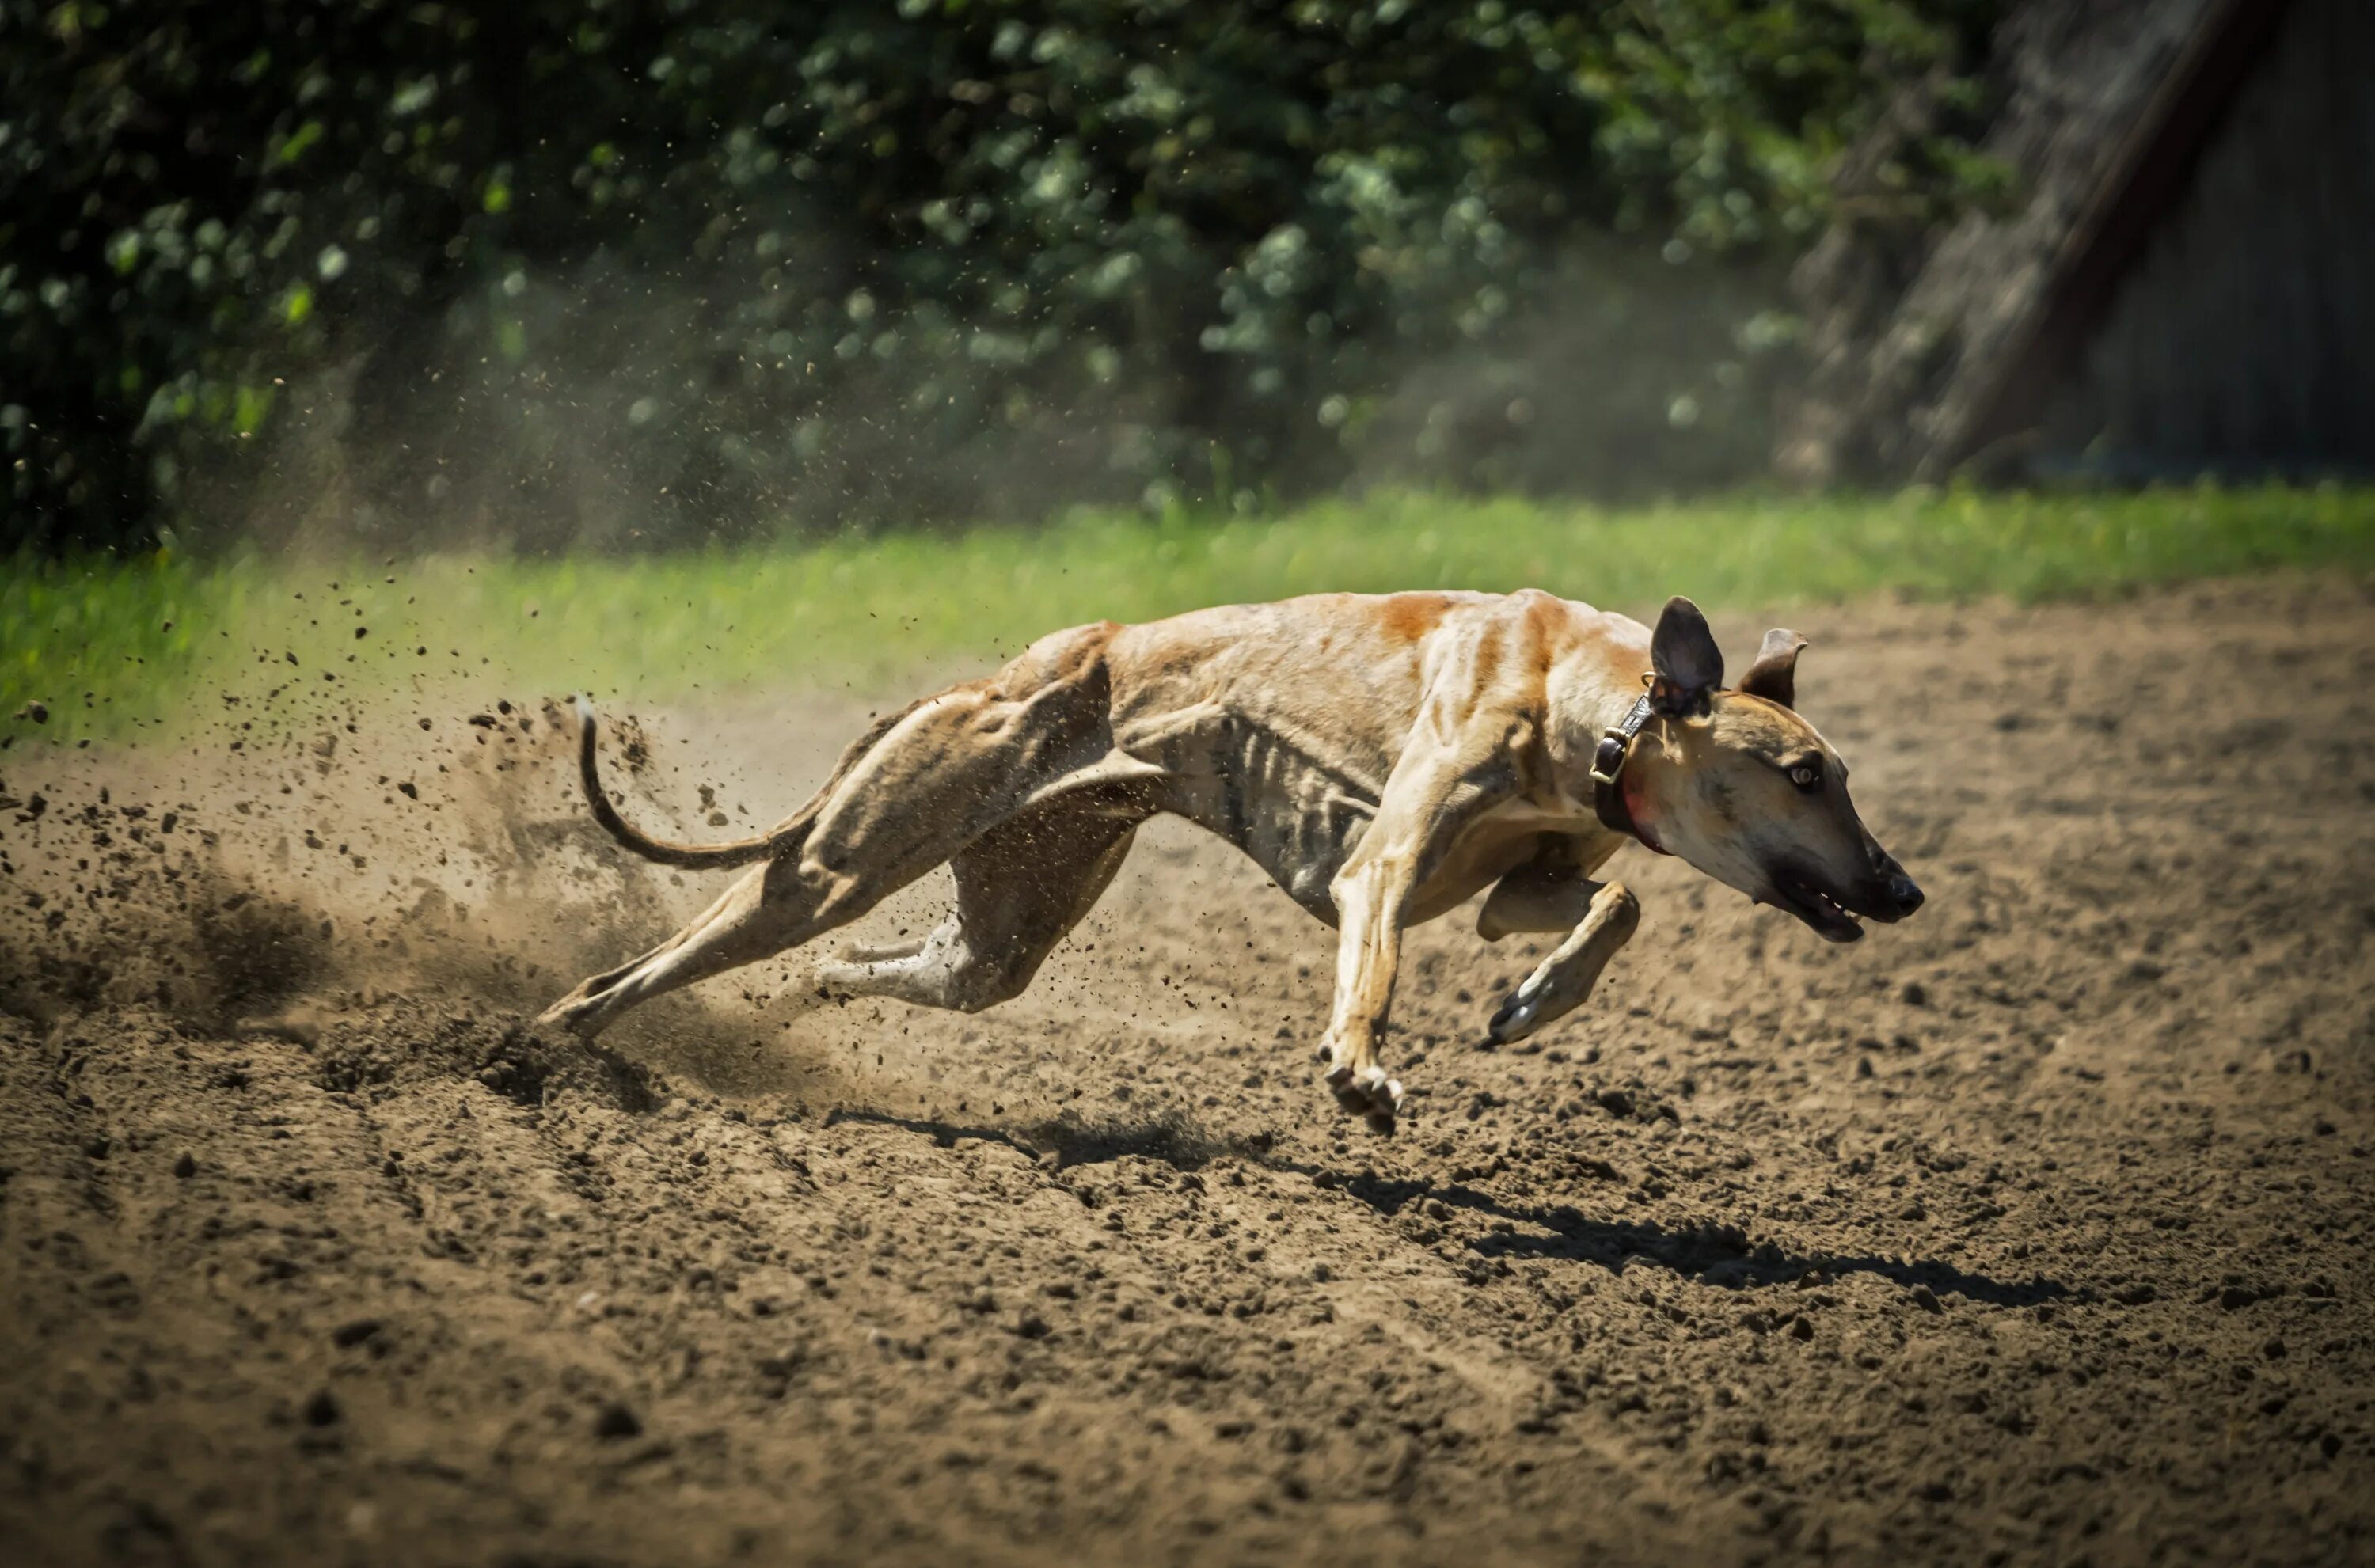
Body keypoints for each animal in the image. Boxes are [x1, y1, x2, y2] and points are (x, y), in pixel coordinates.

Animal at [539, 591, 1910, 1126]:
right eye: (1806, 775)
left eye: (1844, 770)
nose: (1903, 890)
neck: (1593, 703)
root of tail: (1004, 675)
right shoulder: (1381, 875)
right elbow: (1373, 972)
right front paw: (1360, 1073)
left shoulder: (1512, 882)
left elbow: (1614, 896)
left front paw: (1530, 1004)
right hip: (836, 866)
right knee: (629, 975)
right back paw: (545, 1045)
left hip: (998, 930)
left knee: (899, 963)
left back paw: (795, 1006)